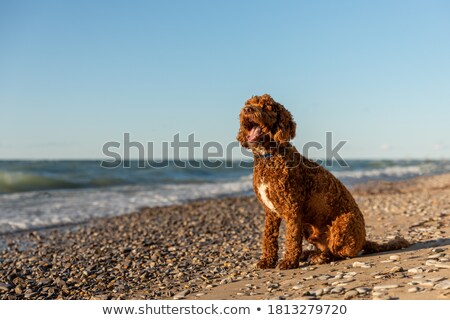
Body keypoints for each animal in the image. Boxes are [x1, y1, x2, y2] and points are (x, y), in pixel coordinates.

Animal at [237, 94, 410, 268]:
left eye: (267, 106)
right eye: (248, 103)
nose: (247, 109)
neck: (269, 156)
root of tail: (363, 241)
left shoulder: (292, 208)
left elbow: (292, 238)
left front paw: (289, 261)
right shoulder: (270, 212)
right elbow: (269, 237)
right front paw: (267, 261)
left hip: (343, 224)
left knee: (340, 252)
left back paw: (320, 257)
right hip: (308, 227)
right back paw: (310, 254)